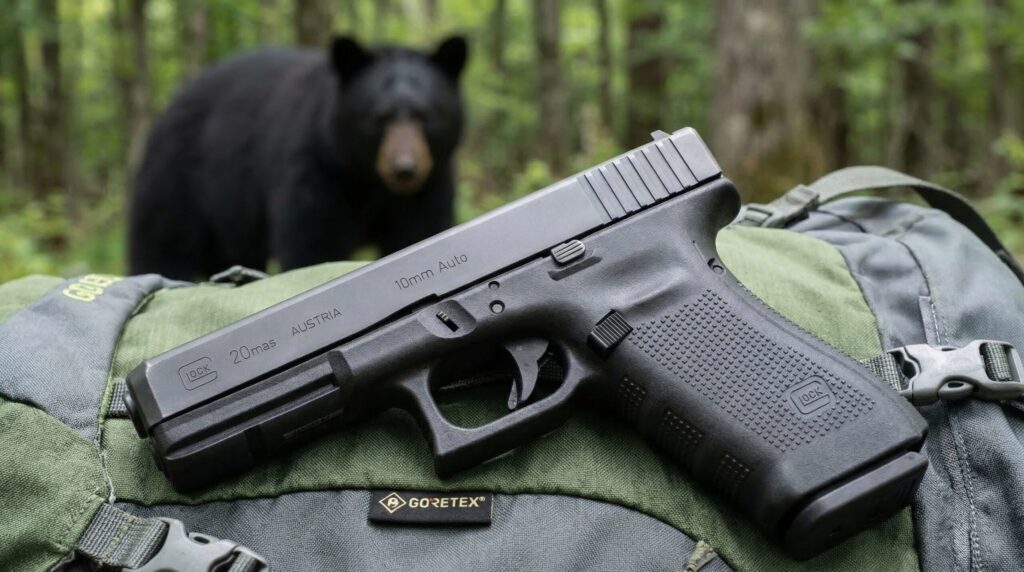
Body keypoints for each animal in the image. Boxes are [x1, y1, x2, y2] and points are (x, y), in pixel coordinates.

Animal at [128, 36, 468, 280]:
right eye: (379, 117)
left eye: (425, 115)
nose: (405, 169)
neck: (368, 178)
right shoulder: (316, 169)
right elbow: (314, 242)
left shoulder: (430, 184)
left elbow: (419, 231)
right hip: (177, 184)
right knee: (162, 247)